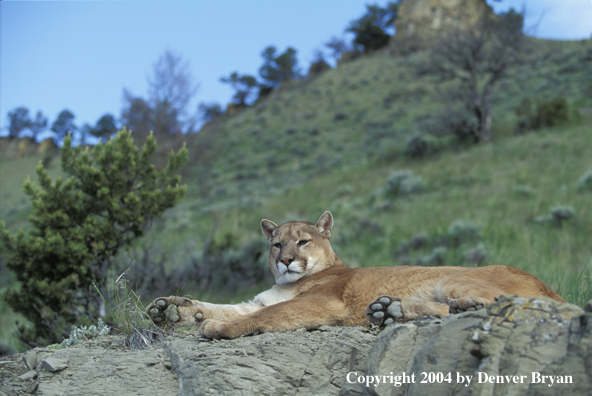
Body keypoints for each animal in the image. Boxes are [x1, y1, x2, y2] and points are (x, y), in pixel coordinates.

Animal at [147, 212, 564, 338]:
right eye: (276, 244)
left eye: (303, 241)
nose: (286, 261)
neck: (288, 283)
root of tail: (548, 285)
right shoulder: (258, 299)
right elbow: (228, 306)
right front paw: (171, 309)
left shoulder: (323, 303)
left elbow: (266, 314)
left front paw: (216, 328)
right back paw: (388, 311)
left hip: (453, 278)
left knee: (499, 303)